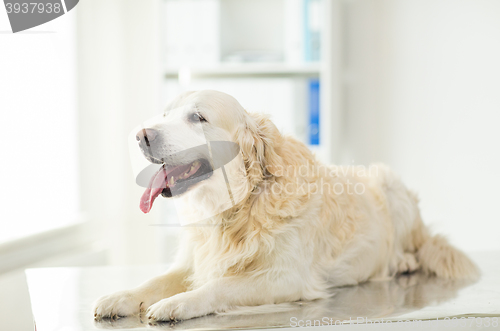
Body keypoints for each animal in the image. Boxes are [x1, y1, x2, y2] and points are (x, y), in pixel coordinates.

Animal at [92, 90, 478, 322]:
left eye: (198, 117)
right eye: (165, 114)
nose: (141, 135)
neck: (237, 208)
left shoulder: (287, 277)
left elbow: (219, 286)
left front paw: (178, 303)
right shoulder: (192, 261)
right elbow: (154, 280)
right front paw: (120, 297)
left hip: (391, 185)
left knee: (415, 247)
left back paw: (404, 261)